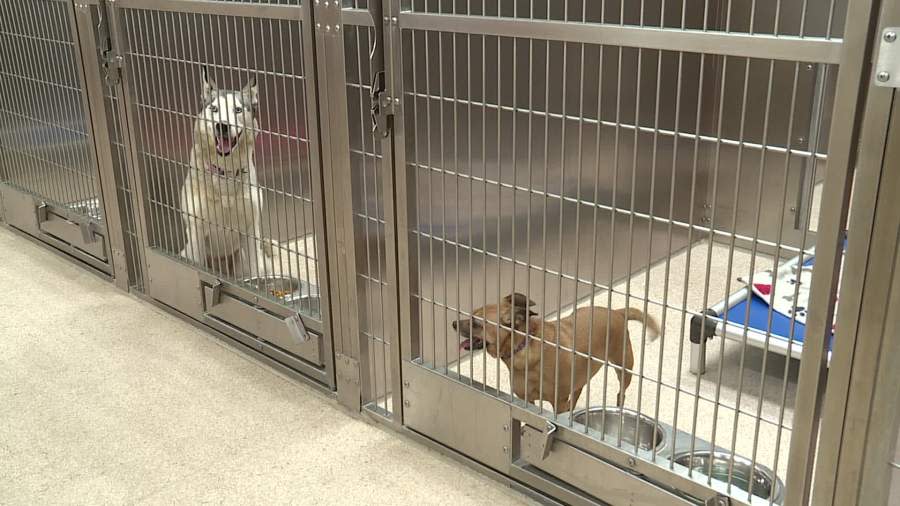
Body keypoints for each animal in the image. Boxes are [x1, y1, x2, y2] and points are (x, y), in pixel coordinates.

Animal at [178, 68, 272, 276]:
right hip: (186, 252)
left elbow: (256, 271)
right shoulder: (196, 231)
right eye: (214, 109)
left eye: (238, 110)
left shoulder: (251, 229)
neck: (225, 172)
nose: (222, 125)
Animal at [454, 294, 656, 414]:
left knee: (621, 392)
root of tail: (617, 312)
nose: (454, 323)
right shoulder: (526, 400)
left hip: (624, 368)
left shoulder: (558, 402)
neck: (524, 346)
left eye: (476, 323)